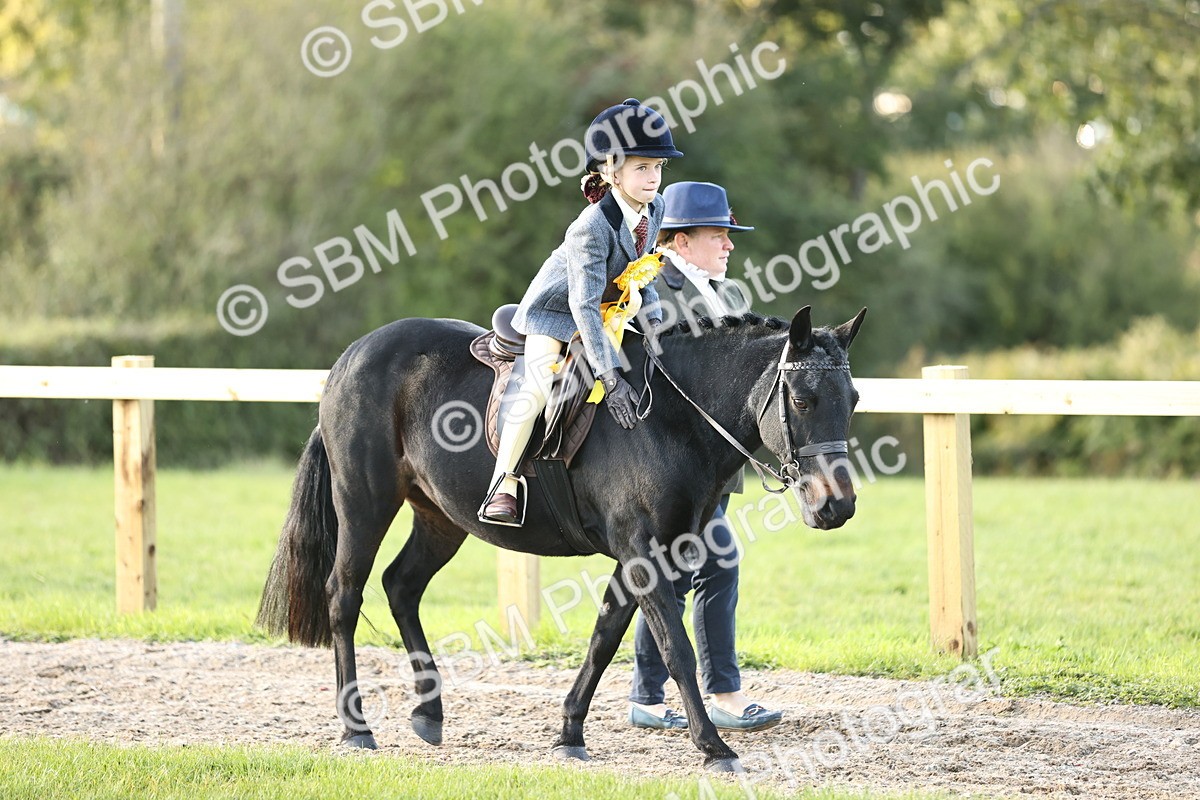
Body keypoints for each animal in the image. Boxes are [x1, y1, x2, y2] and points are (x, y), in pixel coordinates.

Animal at [255, 305, 866, 771]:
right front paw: (713, 746)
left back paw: (430, 713)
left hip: (441, 518)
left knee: (402, 587)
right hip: (364, 502)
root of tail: (351, 357)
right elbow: (675, 647)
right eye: (803, 399)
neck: (670, 416)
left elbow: (604, 638)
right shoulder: (643, 554)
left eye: (854, 399)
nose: (837, 505)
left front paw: (570, 733)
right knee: (344, 597)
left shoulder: (649, 557)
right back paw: (355, 727)